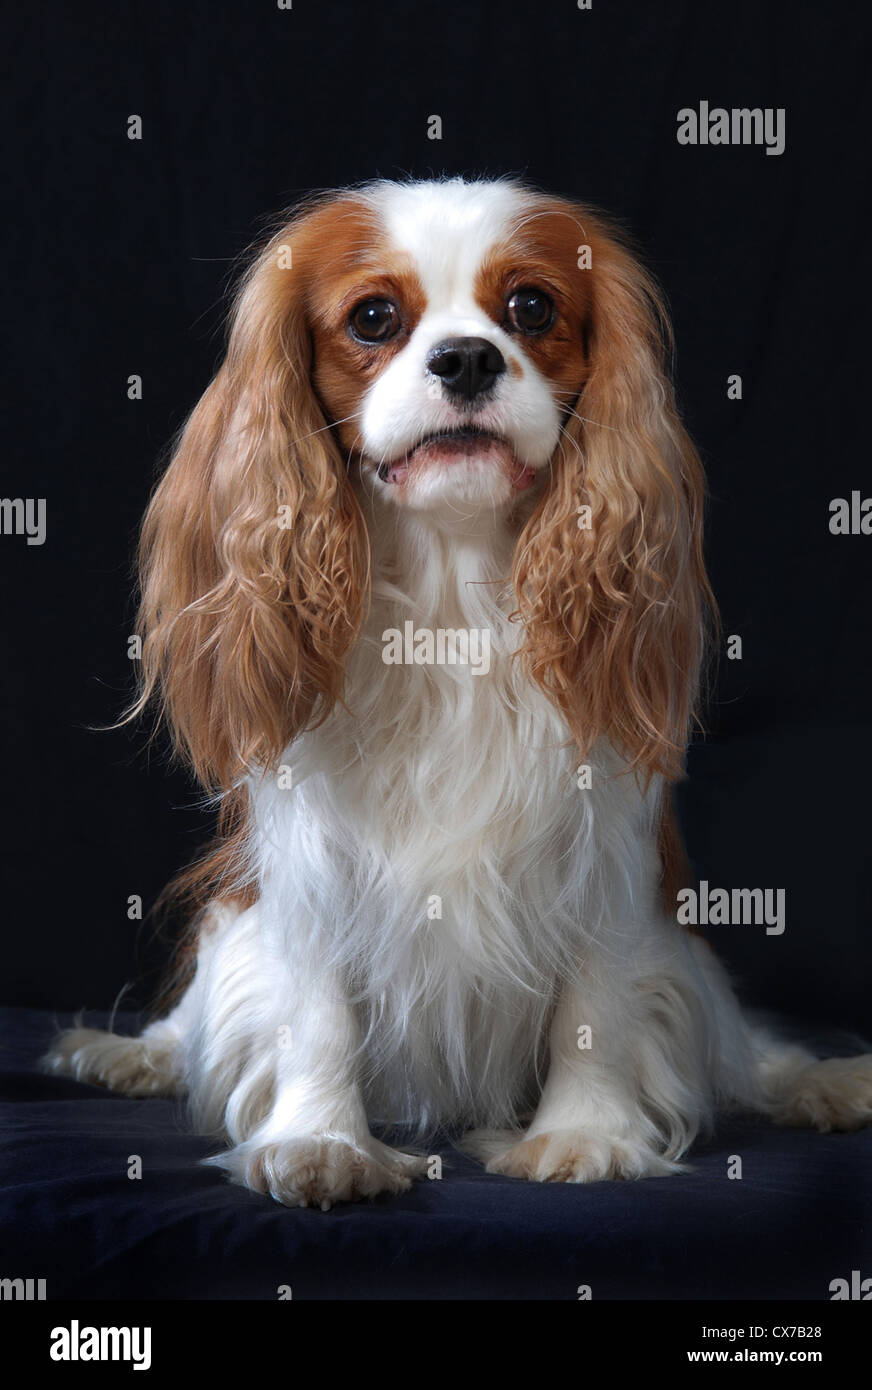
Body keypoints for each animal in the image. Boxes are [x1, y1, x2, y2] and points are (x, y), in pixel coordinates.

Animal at [45, 179, 872, 1206]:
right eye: (372, 317)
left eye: (532, 308)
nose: (469, 357)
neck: (452, 590)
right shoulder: (309, 860)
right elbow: (314, 1009)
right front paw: (322, 1142)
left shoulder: (607, 854)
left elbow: (599, 1004)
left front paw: (582, 1135)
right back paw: (134, 1054)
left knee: (737, 1047)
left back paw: (817, 1082)